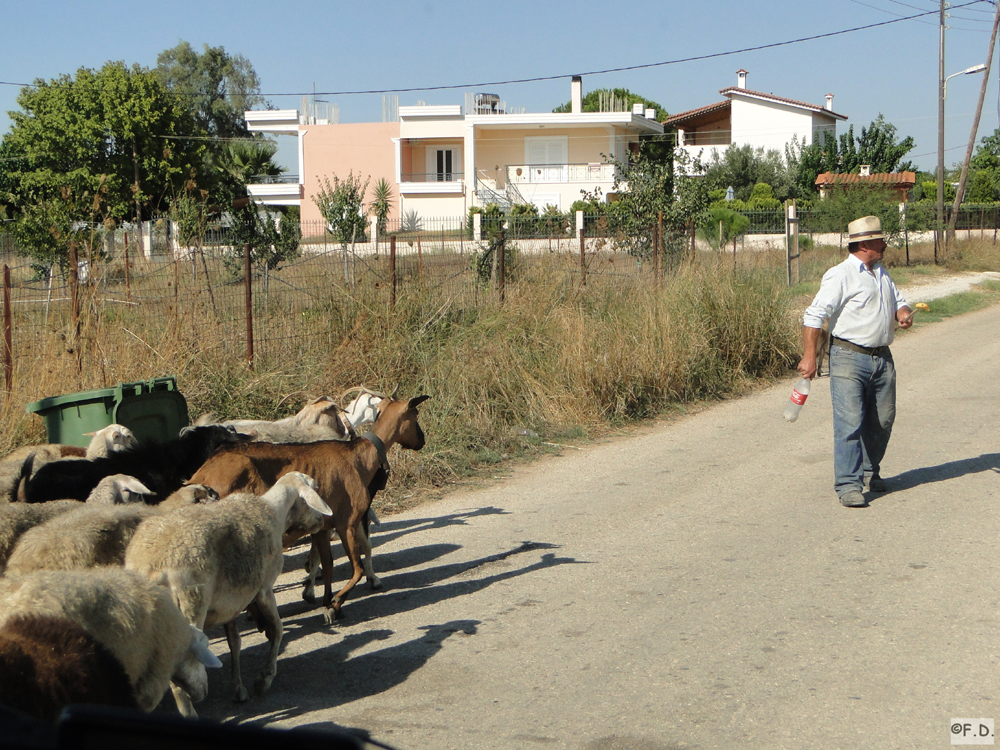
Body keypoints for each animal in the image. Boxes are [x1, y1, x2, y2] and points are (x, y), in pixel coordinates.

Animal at [125, 472, 332, 720]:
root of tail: (150, 566)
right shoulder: (264, 589)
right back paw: (192, 707)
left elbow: (235, 642)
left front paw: (238, 689)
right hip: (190, 604)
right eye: (315, 489)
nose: (322, 521)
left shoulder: (230, 602)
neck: (272, 512)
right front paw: (264, 679)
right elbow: (277, 629)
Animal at [188, 396, 430, 624]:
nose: (422, 440)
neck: (359, 456)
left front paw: (327, 602)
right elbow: (357, 568)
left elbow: (328, 564)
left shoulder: (323, 527)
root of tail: (201, 475)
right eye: (415, 415)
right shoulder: (347, 522)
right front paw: (335, 604)